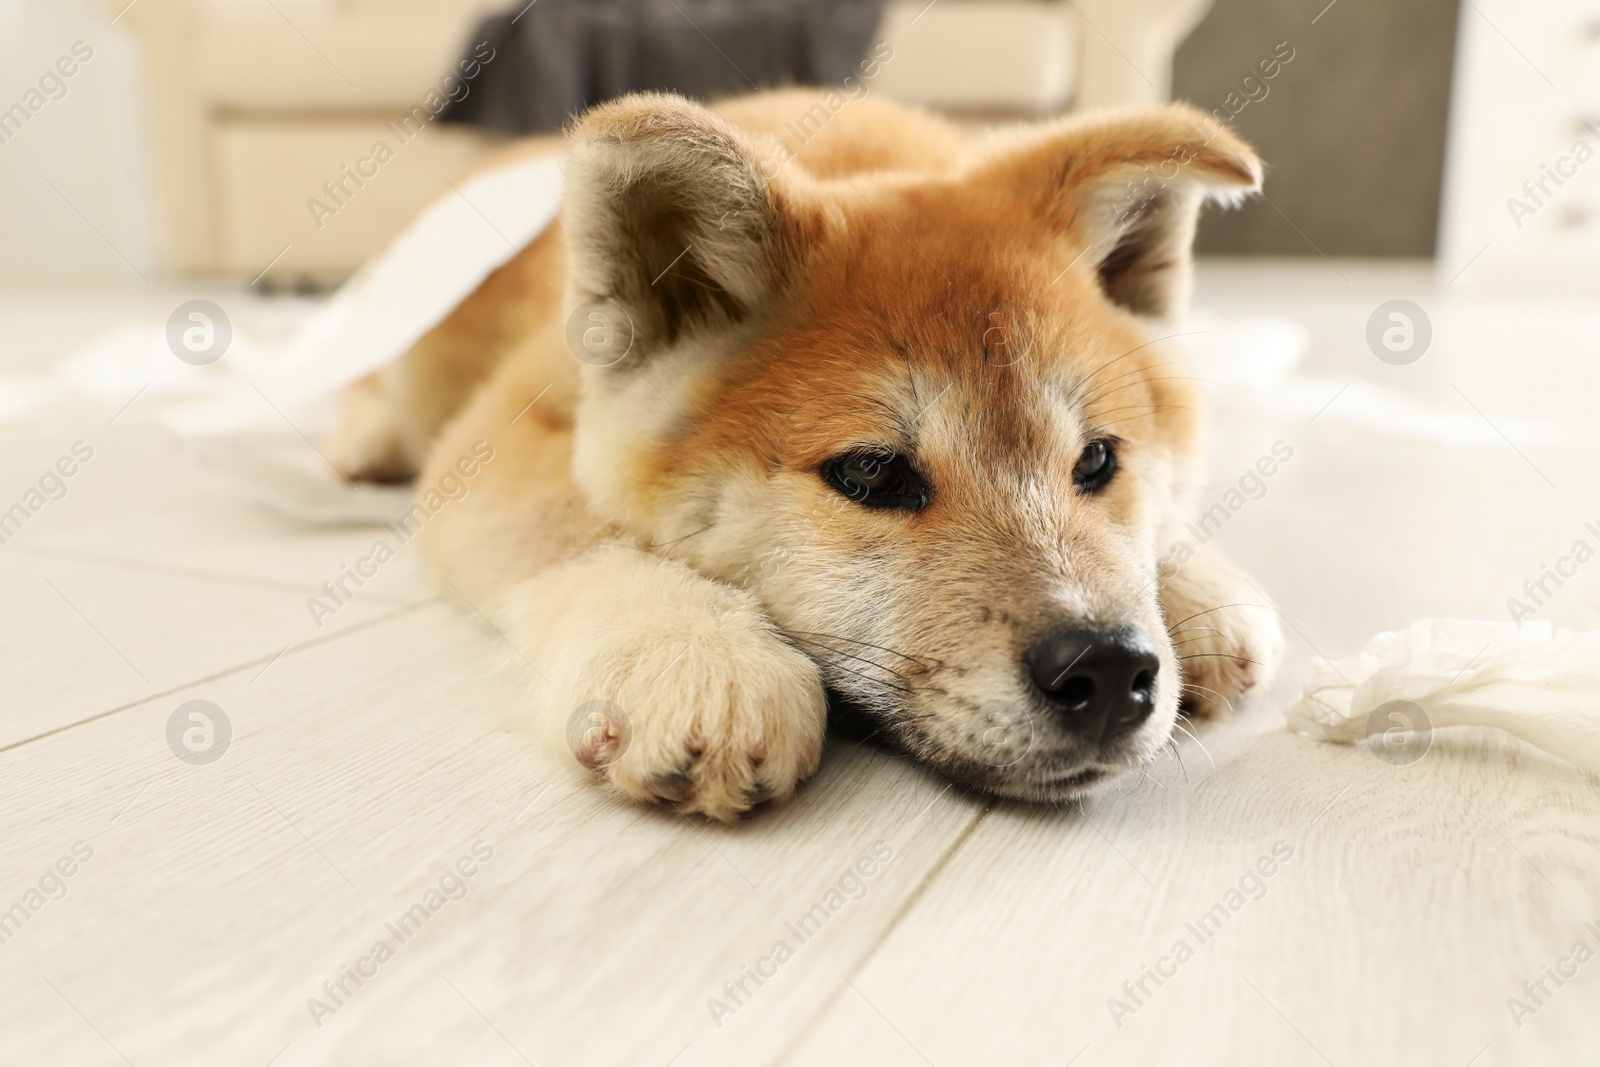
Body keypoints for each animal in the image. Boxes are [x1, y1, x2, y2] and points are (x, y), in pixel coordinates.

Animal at [331, 87, 1280, 825]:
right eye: (872, 473)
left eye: (1096, 461)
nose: (1109, 665)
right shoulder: (499, 438)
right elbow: (581, 533)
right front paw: (693, 647)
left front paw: (1196, 581)